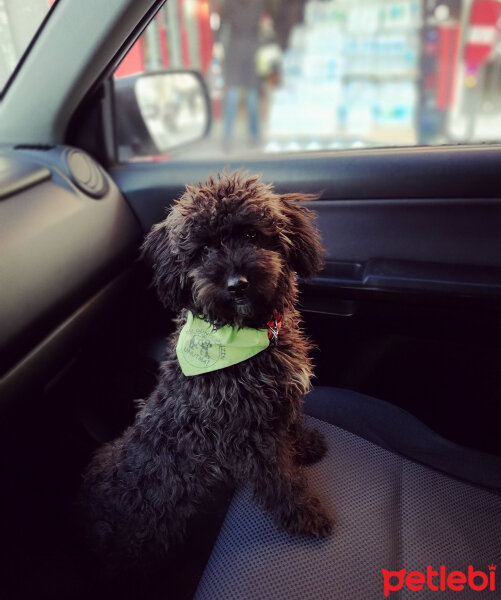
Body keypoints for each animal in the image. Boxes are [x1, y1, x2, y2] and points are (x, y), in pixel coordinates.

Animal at [80, 171, 332, 576]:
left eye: (251, 235)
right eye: (201, 252)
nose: (236, 284)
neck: (246, 334)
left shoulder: (278, 402)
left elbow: (291, 423)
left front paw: (305, 445)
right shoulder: (247, 437)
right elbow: (281, 480)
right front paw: (305, 515)